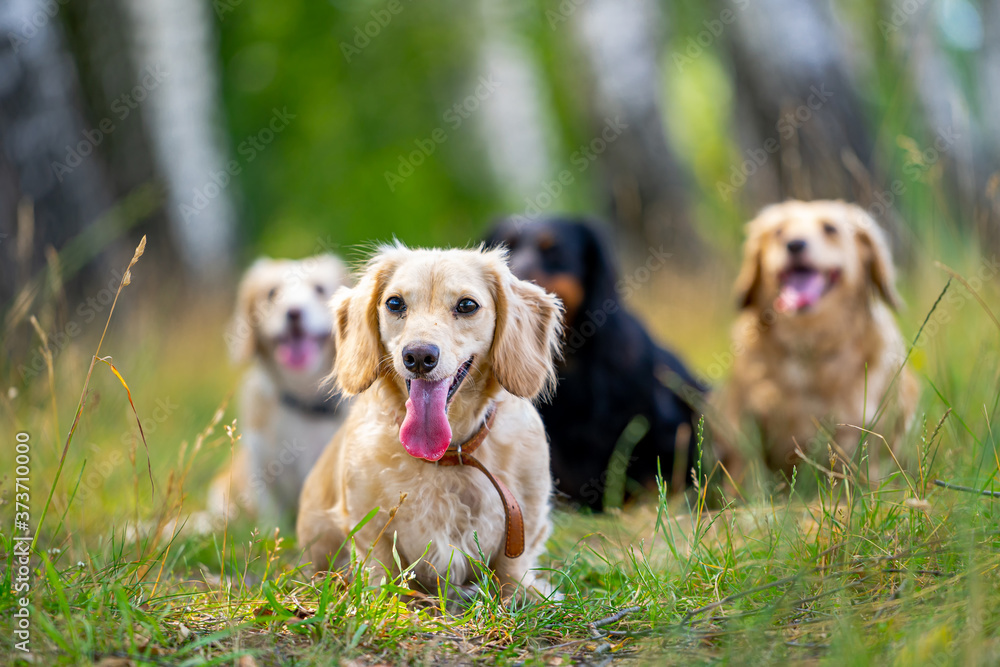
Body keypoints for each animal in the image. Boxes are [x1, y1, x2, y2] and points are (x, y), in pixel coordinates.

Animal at [296, 244, 564, 600]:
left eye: (467, 305)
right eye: (395, 303)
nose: (419, 357)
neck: (447, 456)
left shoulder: (525, 521)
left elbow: (512, 571)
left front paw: (524, 595)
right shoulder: (366, 525)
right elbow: (379, 565)